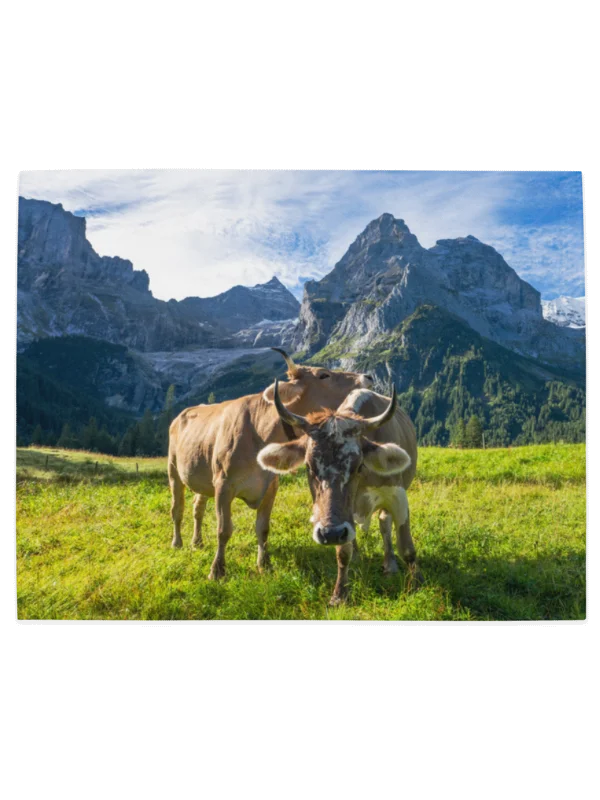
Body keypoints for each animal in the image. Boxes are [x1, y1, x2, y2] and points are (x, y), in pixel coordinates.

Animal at [167, 349, 374, 580]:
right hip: (173, 470)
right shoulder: (223, 485)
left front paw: (264, 565)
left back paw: (197, 542)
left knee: (198, 508)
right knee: (177, 509)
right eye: (323, 375)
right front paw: (217, 570)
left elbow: (263, 528)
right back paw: (177, 543)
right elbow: (224, 529)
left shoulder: (270, 486)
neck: (259, 431)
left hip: (203, 478)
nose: (368, 376)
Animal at [257, 379, 420, 605]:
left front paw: (416, 585)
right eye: (309, 467)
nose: (330, 533)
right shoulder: (342, 517)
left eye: (359, 465)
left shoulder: (397, 496)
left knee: (384, 523)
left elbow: (406, 547)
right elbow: (343, 553)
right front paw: (340, 594)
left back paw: (390, 564)